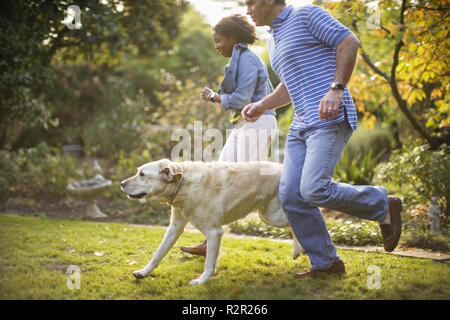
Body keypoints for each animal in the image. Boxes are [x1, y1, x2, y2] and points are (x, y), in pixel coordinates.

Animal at [120, 159, 302, 286]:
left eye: (142, 174)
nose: (121, 183)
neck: (184, 185)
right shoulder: (175, 227)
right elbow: (158, 253)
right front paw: (143, 272)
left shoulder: (214, 233)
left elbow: (208, 264)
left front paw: (201, 281)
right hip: (267, 215)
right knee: (294, 224)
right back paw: (298, 251)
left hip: (272, 216)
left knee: (301, 218)